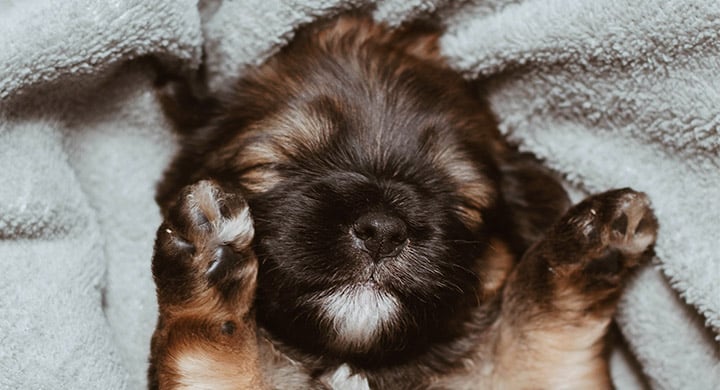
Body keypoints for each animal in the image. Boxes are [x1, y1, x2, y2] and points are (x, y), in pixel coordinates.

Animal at [148, 13, 660, 388]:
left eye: (462, 198)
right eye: (276, 165)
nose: (381, 229)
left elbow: (538, 342)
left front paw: (585, 247)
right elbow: (203, 352)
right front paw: (208, 260)